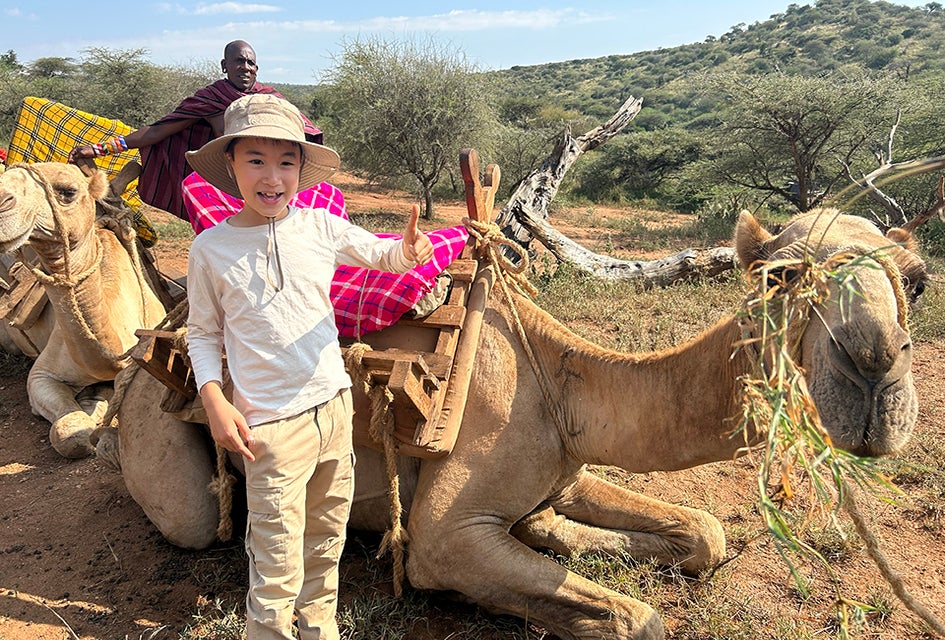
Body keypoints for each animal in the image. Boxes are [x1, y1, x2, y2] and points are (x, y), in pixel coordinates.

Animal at [114, 209, 925, 640]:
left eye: (915, 281)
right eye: (780, 276)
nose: (872, 371)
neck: (562, 384)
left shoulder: (562, 467)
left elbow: (704, 532)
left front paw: (554, 535)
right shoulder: (444, 536)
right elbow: (637, 619)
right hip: (171, 464)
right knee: (196, 518)